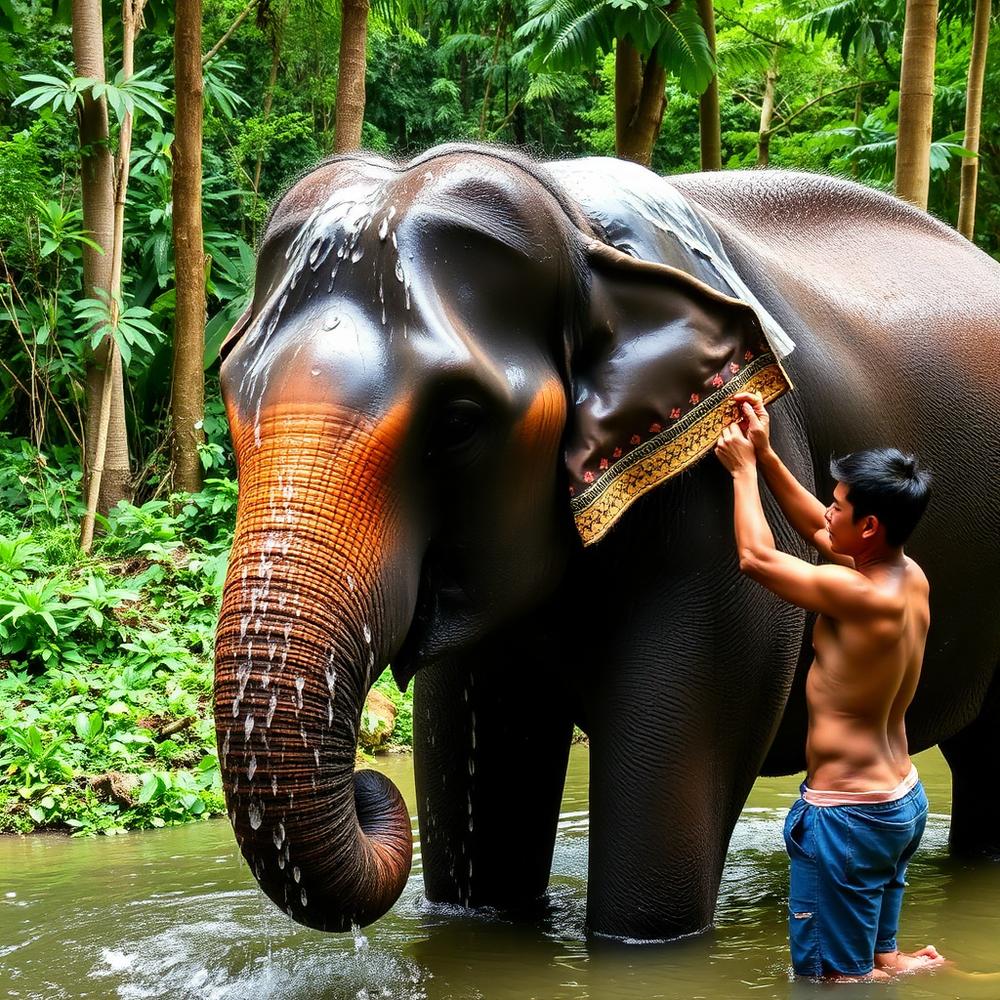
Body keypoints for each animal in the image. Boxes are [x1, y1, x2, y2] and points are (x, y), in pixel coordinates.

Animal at [214, 142, 1000, 941]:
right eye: (227, 389)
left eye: (459, 422)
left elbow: (654, 882)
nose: (374, 785)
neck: (574, 226)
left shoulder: (700, 510)